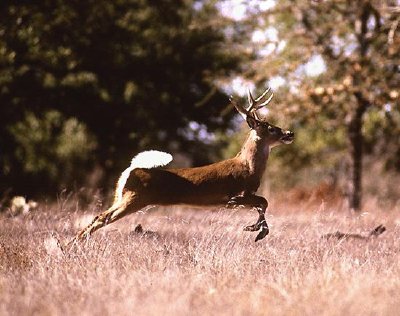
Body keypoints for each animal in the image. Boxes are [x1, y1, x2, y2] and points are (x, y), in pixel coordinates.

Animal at [69, 87, 294, 246]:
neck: (248, 168)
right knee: (102, 217)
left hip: (122, 197)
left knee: (99, 215)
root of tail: (130, 170)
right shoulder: (237, 195)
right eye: (270, 128)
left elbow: (262, 204)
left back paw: (71, 244)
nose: (289, 133)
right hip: (134, 198)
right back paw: (72, 245)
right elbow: (264, 202)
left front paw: (254, 228)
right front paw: (258, 231)